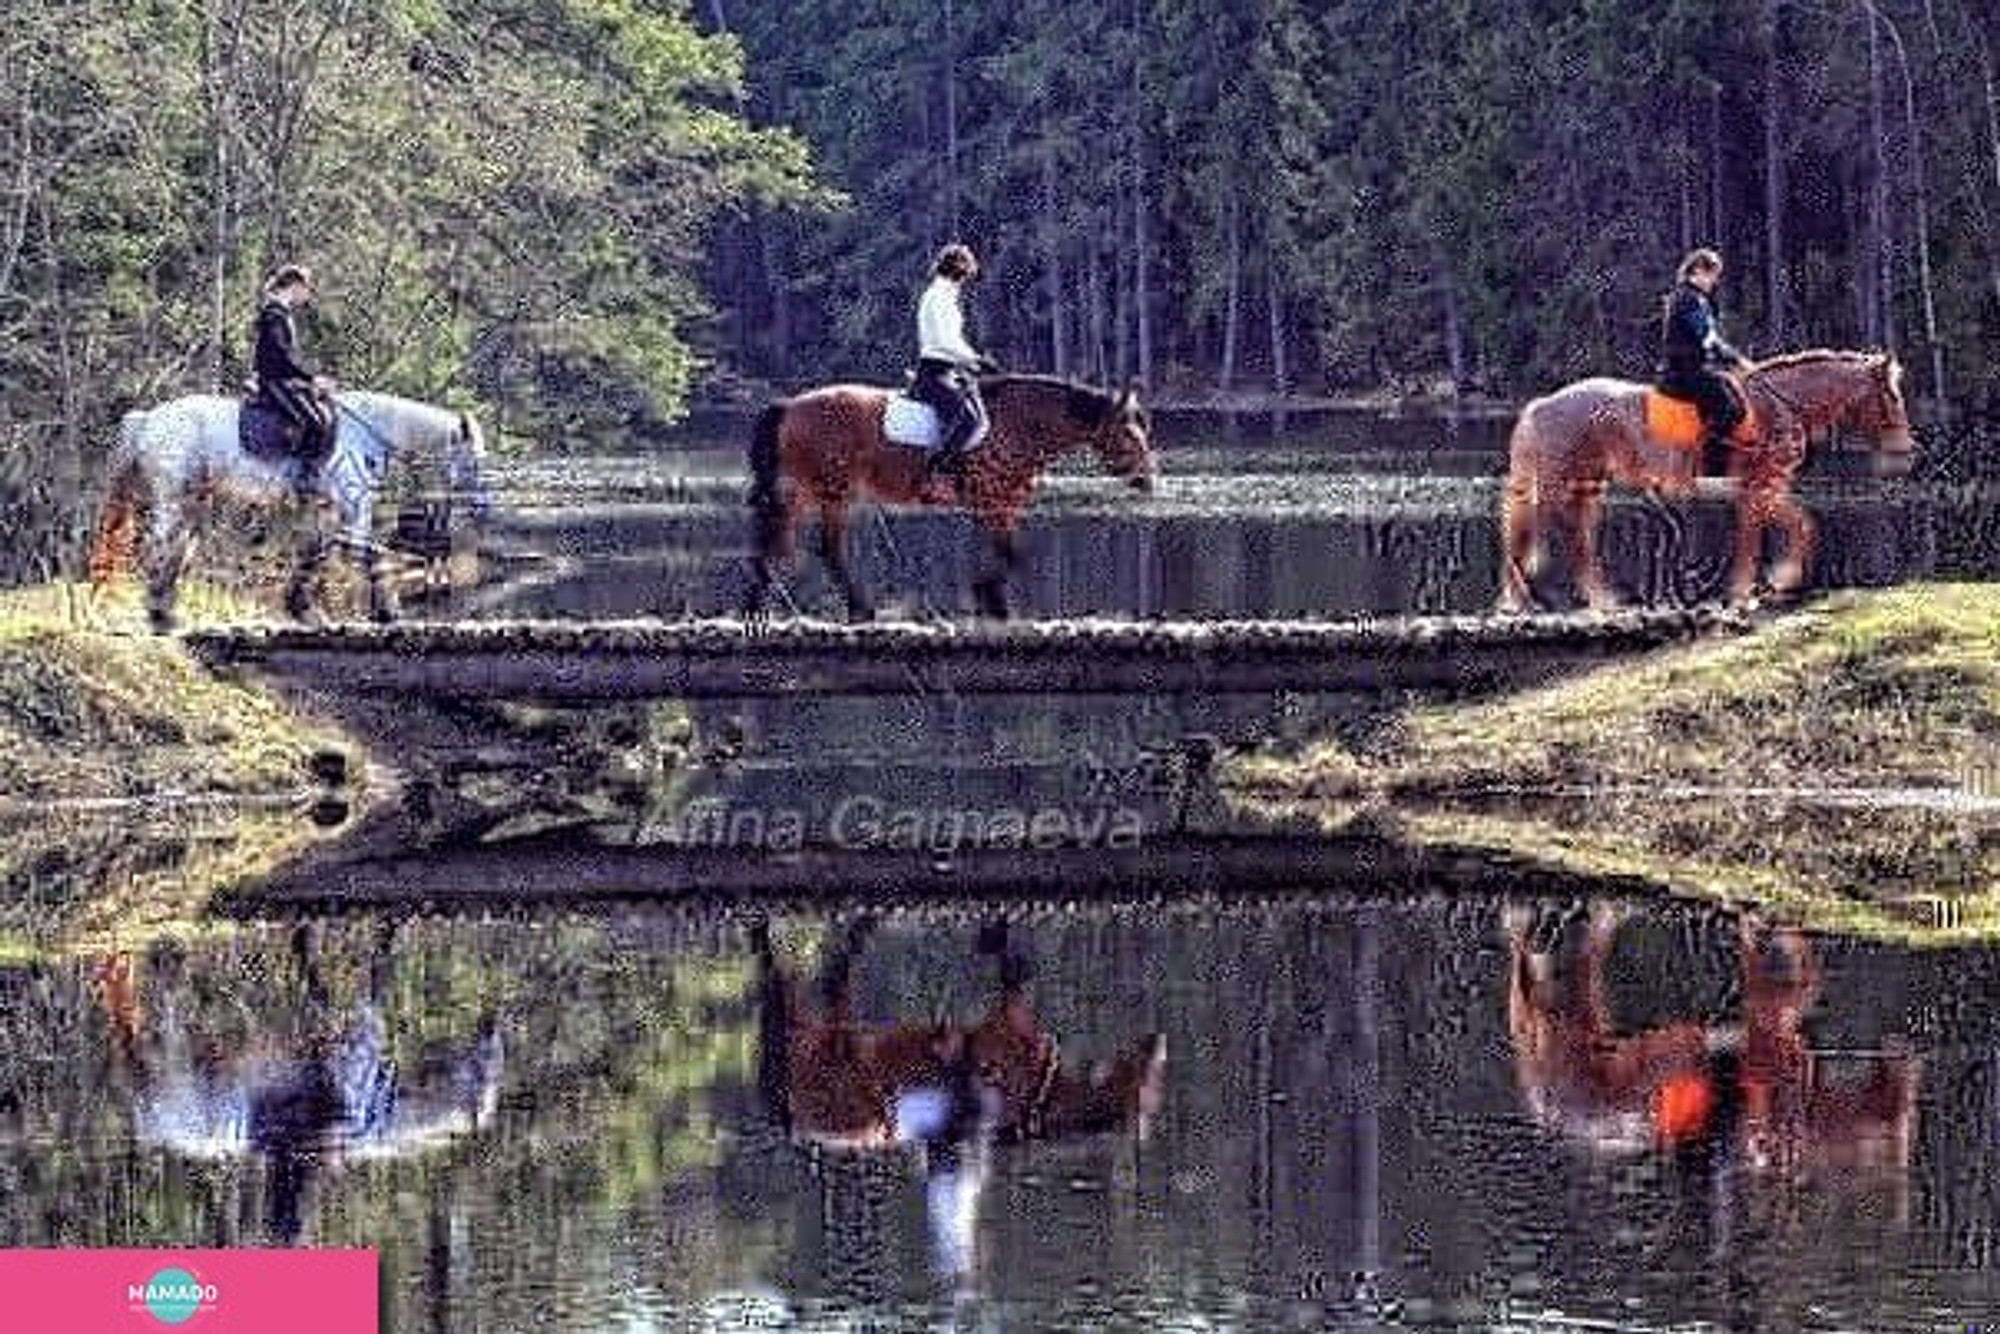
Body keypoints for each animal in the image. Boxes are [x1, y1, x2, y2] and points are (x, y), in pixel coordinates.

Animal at [87, 388, 496, 636]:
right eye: (474, 462)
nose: (483, 508)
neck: (367, 431)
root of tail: (148, 419)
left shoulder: (325, 513)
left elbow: (315, 554)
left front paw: (304, 610)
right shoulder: (353, 507)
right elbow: (371, 553)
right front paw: (389, 613)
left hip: (190, 501)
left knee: (175, 551)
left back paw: (166, 615)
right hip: (173, 500)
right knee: (156, 549)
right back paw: (159, 617)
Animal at [748, 374, 1160, 624]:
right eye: (1128, 433)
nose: (1147, 480)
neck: (1019, 424)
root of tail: (790, 405)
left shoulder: (1002, 504)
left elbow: (1008, 553)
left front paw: (990, 600)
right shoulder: (995, 501)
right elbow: (1012, 554)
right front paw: (987, 596)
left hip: (808, 490)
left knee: (779, 538)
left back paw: (761, 601)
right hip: (832, 491)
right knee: (823, 547)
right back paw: (859, 608)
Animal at [1496, 350, 1912, 612]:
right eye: (1891, 396)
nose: (1905, 452)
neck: (1779, 405)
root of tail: (1543, 404)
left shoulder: (1763, 490)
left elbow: (1789, 528)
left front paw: (1770, 583)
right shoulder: (1758, 487)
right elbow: (1770, 534)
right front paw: (1758, 587)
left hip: (1586, 487)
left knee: (1575, 539)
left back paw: (1598, 599)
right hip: (1558, 486)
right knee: (1538, 535)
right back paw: (1532, 598)